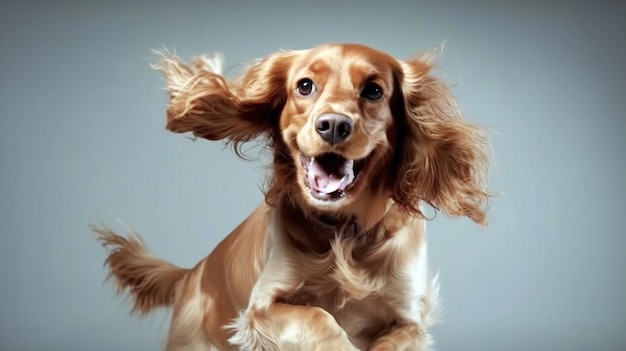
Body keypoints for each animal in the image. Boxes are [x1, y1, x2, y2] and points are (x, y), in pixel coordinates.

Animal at [95, 42, 490, 350]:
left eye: (374, 91)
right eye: (305, 85)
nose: (334, 125)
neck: (343, 234)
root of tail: (191, 273)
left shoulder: (409, 320)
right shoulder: (262, 306)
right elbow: (319, 318)